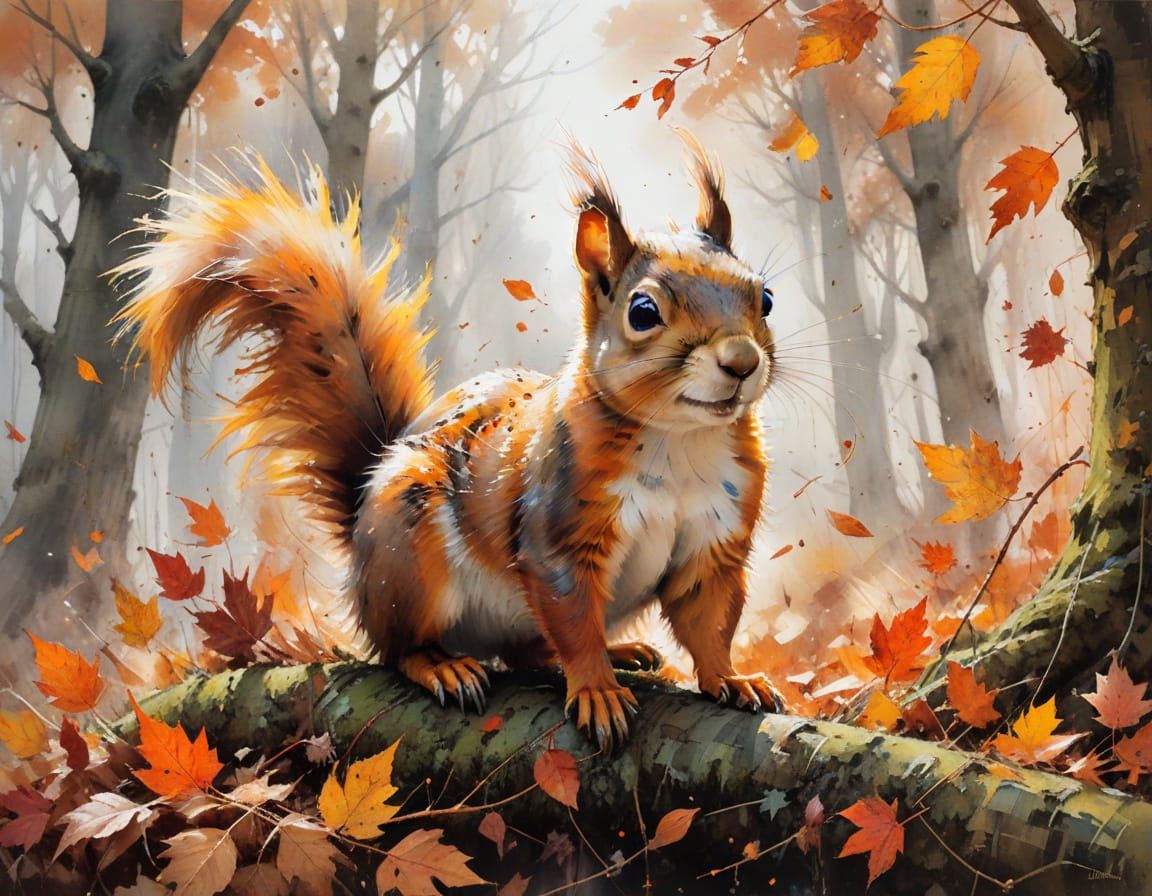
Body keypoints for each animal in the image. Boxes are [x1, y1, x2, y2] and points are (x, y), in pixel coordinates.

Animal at [114, 135, 783, 748]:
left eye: (766, 298)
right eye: (643, 312)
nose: (742, 361)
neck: (681, 444)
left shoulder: (717, 541)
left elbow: (709, 619)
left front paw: (731, 680)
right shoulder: (560, 534)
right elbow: (574, 621)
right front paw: (596, 690)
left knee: (527, 652)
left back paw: (622, 653)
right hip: (411, 563)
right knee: (399, 649)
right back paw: (445, 667)